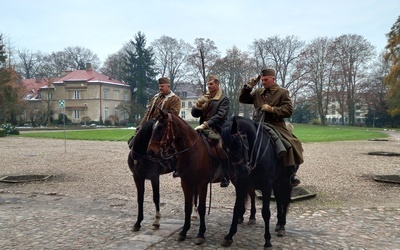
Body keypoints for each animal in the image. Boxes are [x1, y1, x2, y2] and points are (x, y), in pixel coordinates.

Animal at [147, 110, 256, 245]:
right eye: (153, 127)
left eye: (161, 127)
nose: (150, 152)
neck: (192, 151)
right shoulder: (186, 183)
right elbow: (187, 207)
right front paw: (184, 231)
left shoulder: (202, 184)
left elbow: (202, 208)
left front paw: (200, 234)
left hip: (240, 177)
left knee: (248, 195)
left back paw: (242, 224)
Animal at [220, 116, 292, 249]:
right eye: (224, 149)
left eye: (238, 143)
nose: (242, 170)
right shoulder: (241, 184)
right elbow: (236, 208)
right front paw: (229, 236)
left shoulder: (266, 186)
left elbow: (266, 212)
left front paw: (267, 241)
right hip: (277, 183)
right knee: (279, 199)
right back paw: (279, 223)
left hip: (286, 182)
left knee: (285, 201)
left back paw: (282, 226)